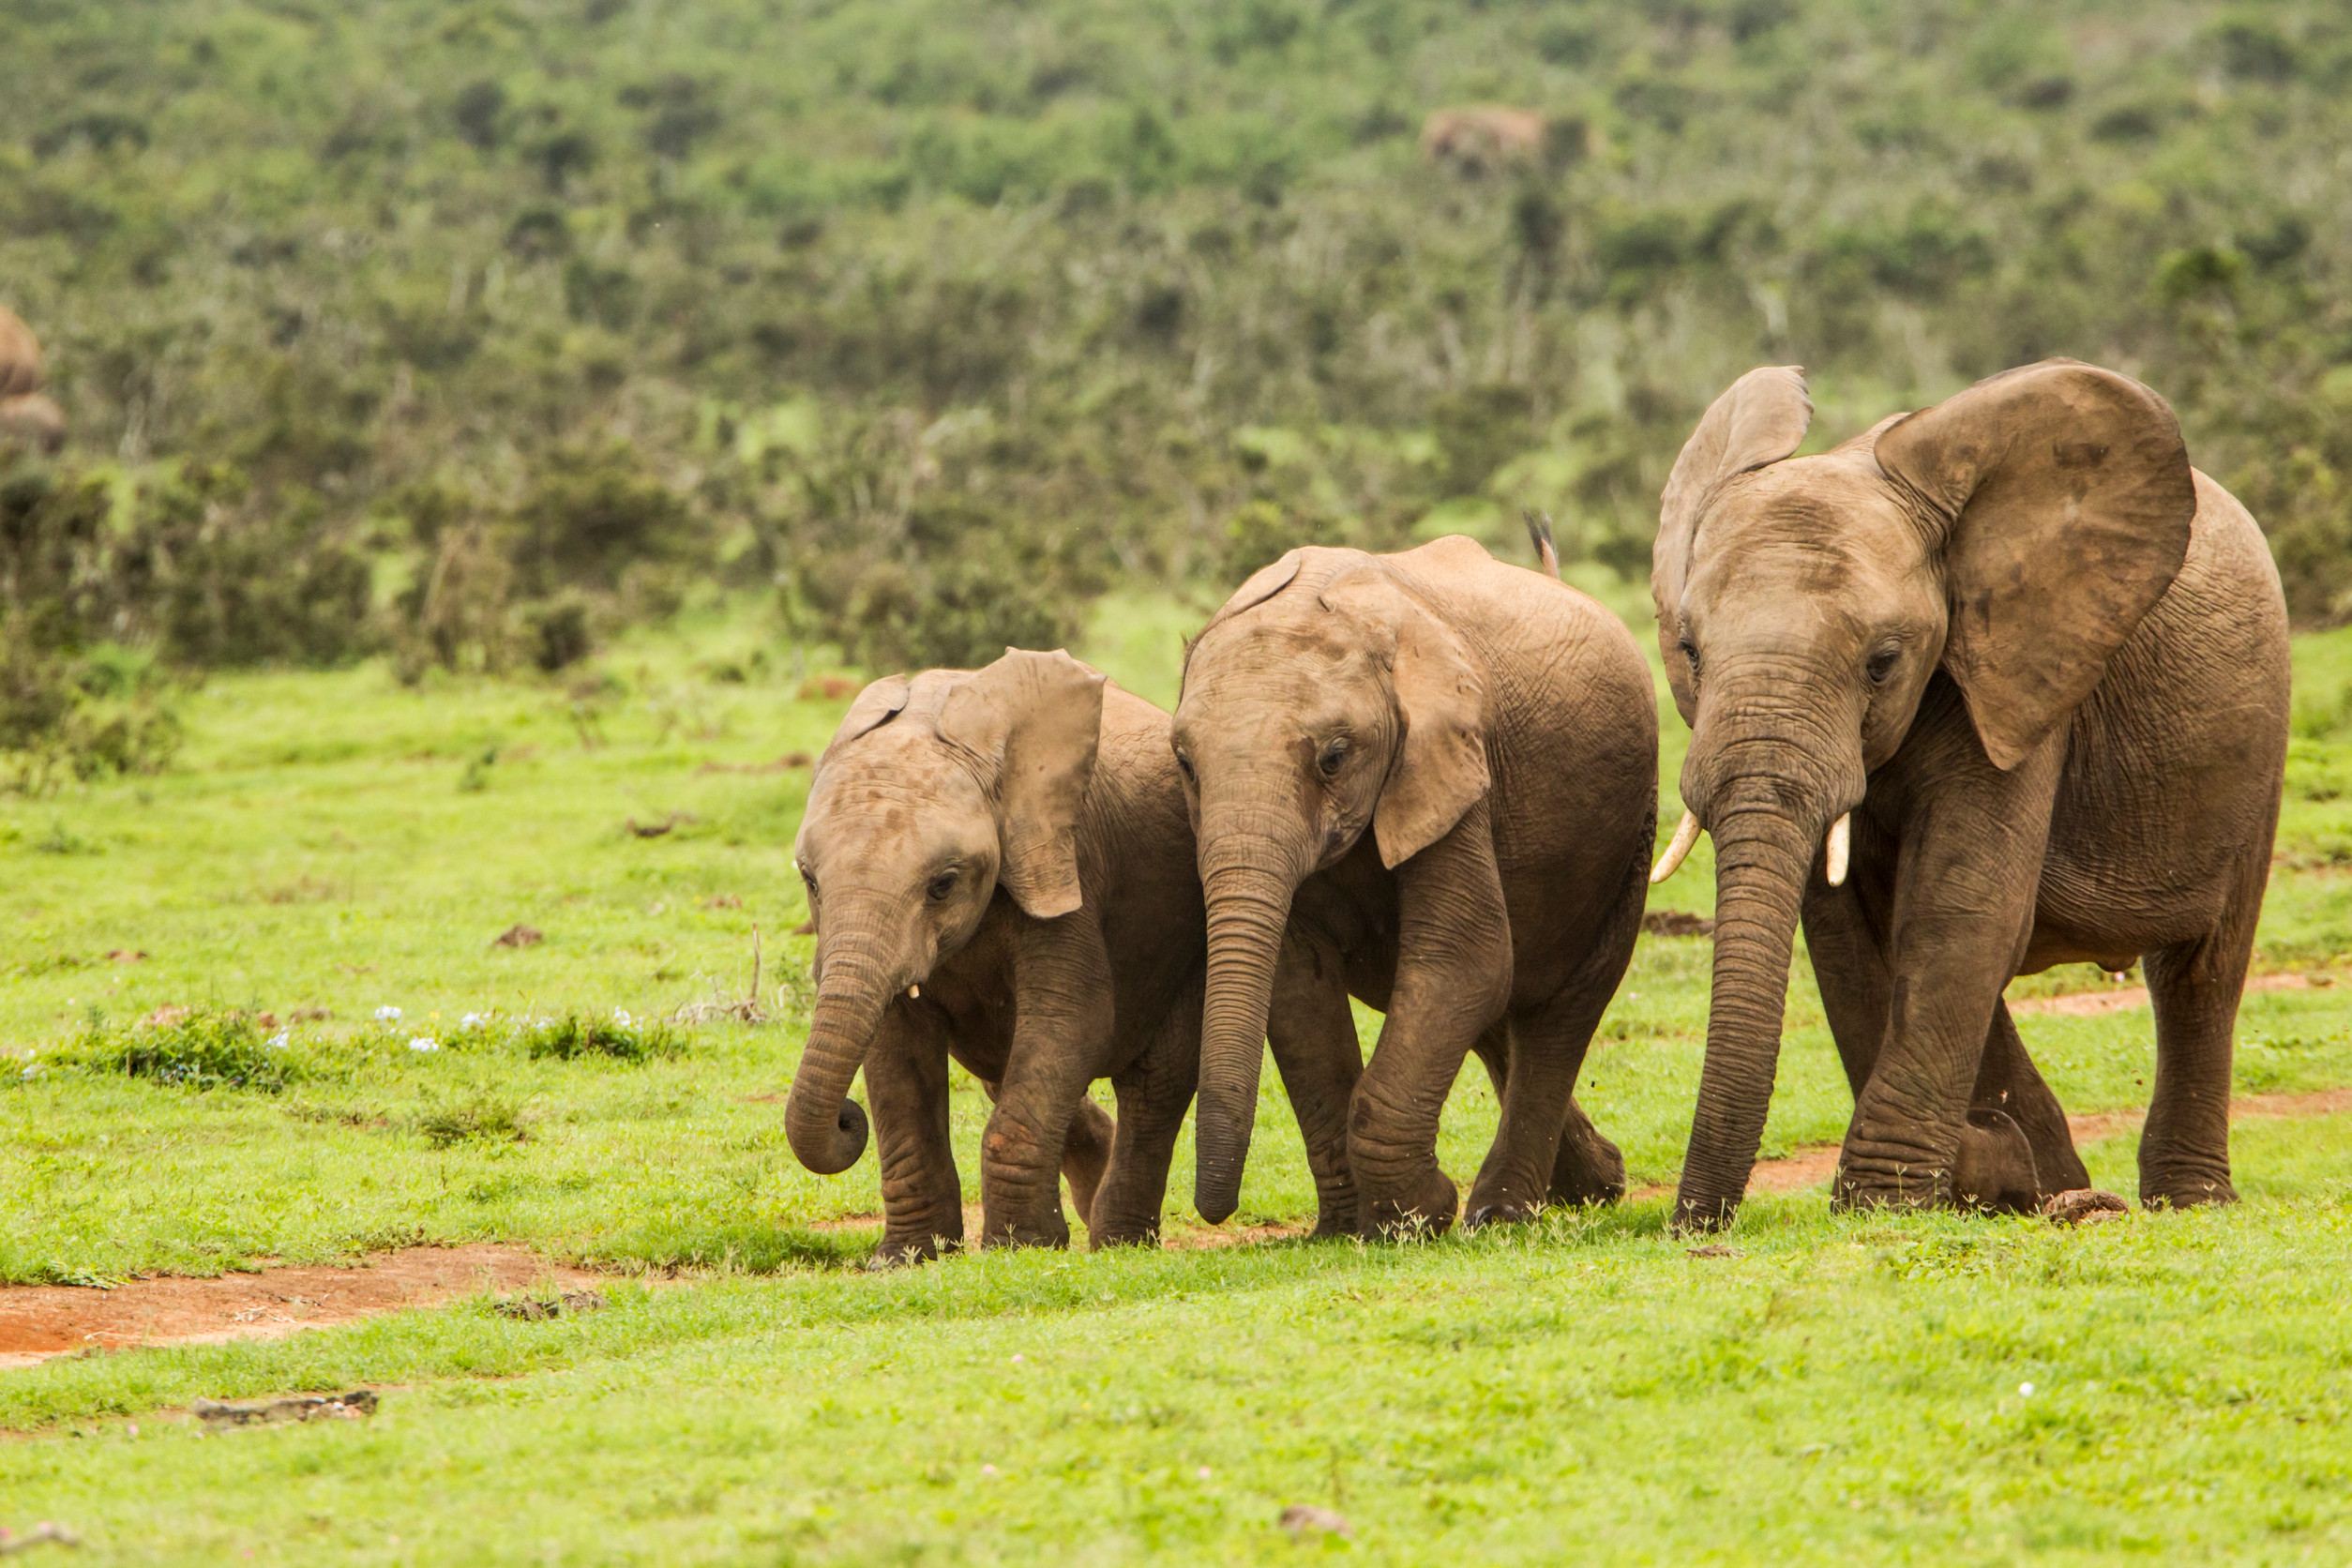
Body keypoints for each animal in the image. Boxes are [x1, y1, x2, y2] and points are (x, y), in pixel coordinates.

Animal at [790, 648, 1214, 1259]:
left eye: (943, 884)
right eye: (810, 881)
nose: (848, 1118)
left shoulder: (1067, 859)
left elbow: (1071, 1021)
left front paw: (1021, 1247)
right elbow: (896, 1049)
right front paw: (907, 1258)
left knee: (1156, 1082)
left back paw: (1119, 1242)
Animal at [1176, 540, 1655, 1241]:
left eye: (1334, 758)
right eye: (1184, 764)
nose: (1216, 1209)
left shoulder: (1453, 764)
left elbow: (1464, 959)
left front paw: (1414, 1217)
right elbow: (1298, 984)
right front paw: (1344, 1230)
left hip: (1631, 836)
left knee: (1562, 1011)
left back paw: (1505, 1213)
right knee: (1502, 1013)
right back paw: (1595, 1186)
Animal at [1646, 362, 2285, 1231]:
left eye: (1883, 662)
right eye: (1688, 650)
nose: (1692, 1226)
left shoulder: (2022, 675)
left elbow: (1960, 907)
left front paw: (1884, 1202)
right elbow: (1847, 928)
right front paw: (1983, 1177)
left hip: (2259, 736)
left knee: (2202, 970)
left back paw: (2181, 1202)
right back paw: (2056, 1187)